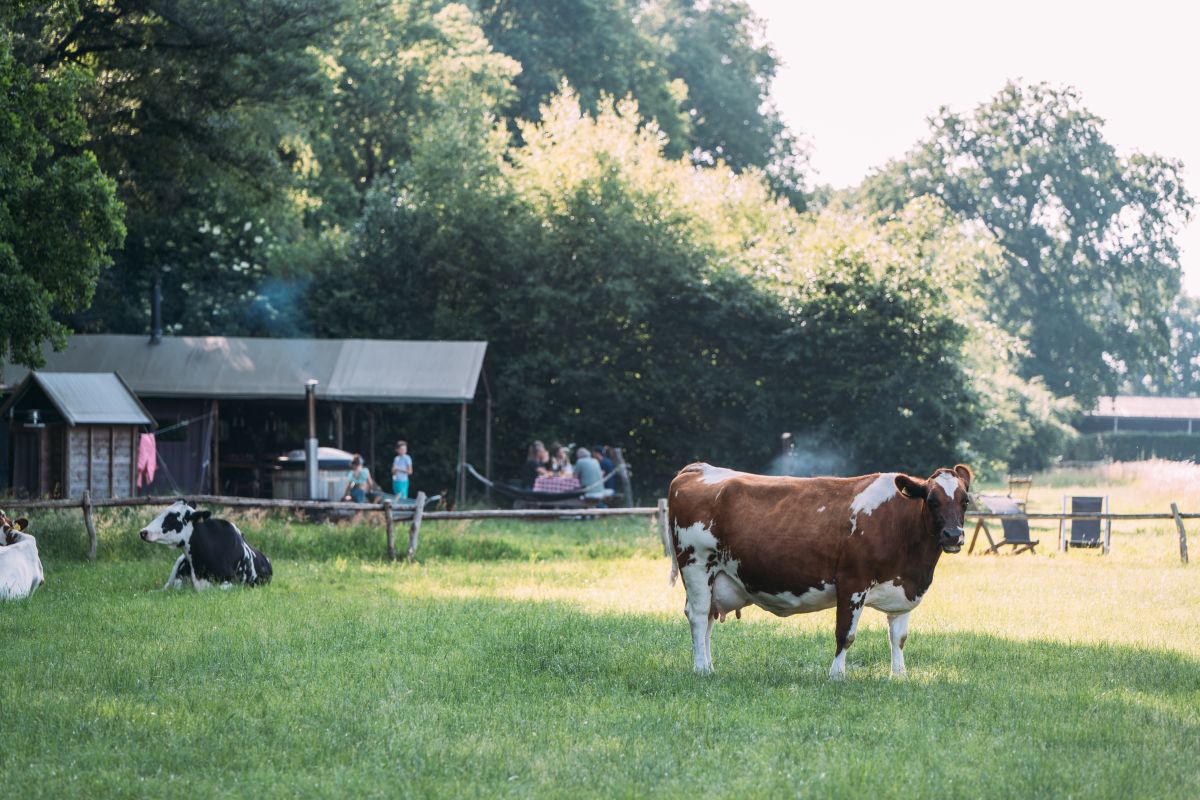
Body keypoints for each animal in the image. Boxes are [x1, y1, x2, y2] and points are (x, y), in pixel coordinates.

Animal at [667, 462, 972, 679]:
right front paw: (836, 675)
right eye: (931, 500)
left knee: (707, 619)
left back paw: (709, 667)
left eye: (965, 501)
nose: (953, 535)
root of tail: (698, 468)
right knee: (697, 616)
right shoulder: (852, 582)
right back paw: (701, 669)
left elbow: (898, 638)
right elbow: (845, 634)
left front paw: (899, 676)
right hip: (696, 564)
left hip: (714, 578)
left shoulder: (903, 588)